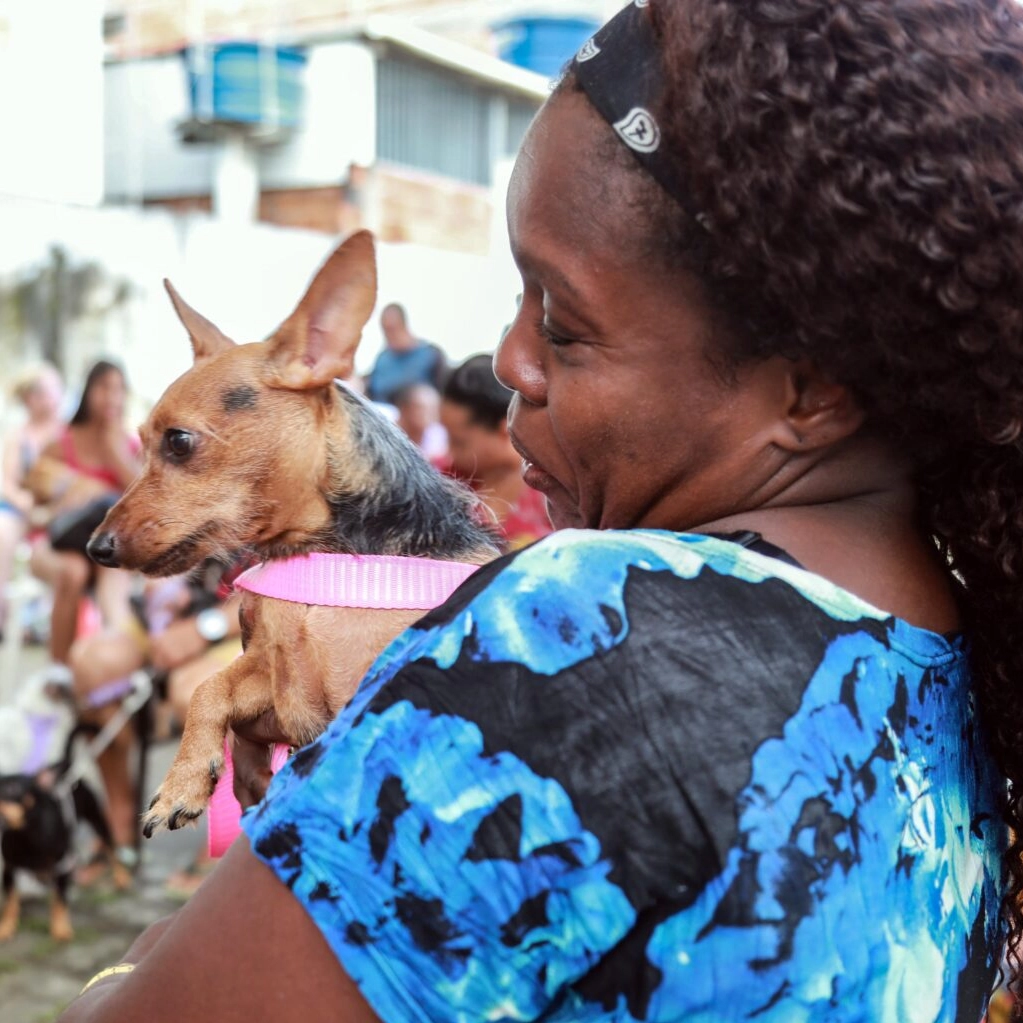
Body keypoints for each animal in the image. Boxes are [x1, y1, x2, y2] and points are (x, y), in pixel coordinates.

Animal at [90, 230, 497, 830]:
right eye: (138, 440)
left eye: (179, 442)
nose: (95, 547)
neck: (327, 560)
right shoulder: (277, 689)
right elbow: (210, 687)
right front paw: (184, 779)